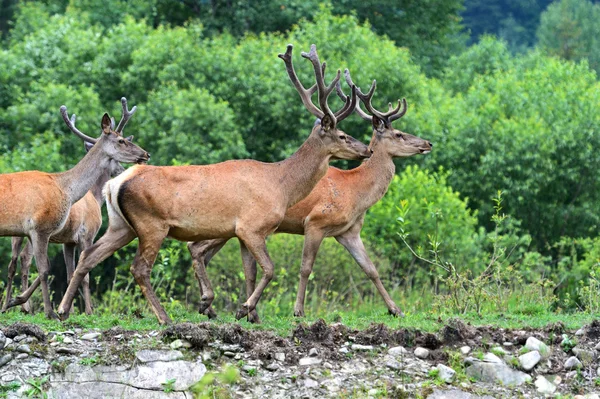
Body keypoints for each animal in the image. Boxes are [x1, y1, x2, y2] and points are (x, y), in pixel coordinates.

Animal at [2, 136, 127, 314]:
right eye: (115, 159)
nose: (123, 170)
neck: (95, 197)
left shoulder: (68, 241)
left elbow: (70, 274)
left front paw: (70, 310)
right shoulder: (86, 234)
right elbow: (84, 273)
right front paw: (87, 311)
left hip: (19, 233)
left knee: (15, 261)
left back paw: (12, 305)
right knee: (26, 258)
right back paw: (24, 306)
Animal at [58, 43, 372, 324]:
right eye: (342, 135)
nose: (367, 149)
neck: (281, 186)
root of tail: (113, 184)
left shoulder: (243, 233)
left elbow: (251, 272)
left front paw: (246, 312)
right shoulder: (252, 226)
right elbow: (270, 269)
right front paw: (242, 309)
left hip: (121, 225)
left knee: (88, 256)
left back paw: (62, 311)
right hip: (151, 223)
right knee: (139, 268)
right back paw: (164, 317)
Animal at [188, 70, 432, 324]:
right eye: (399, 134)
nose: (428, 143)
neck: (355, 191)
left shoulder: (349, 232)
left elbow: (371, 269)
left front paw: (396, 309)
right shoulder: (315, 222)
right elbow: (306, 267)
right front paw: (298, 311)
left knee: (200, 251)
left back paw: (214, 308)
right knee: (196, 247)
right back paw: (216, 306)